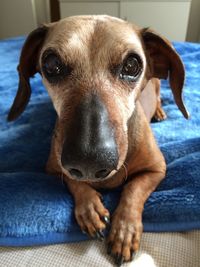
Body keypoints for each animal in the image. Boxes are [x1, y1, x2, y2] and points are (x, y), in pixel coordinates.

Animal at [7, 15, 189, 266]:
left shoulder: (157, 170)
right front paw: (90, 208)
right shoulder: (52, 168)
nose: (88, 163)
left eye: (132, 65)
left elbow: (133, 189)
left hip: (159, 84)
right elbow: (73, 181)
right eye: (51, 64)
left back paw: (160, 112)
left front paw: (124, 232)